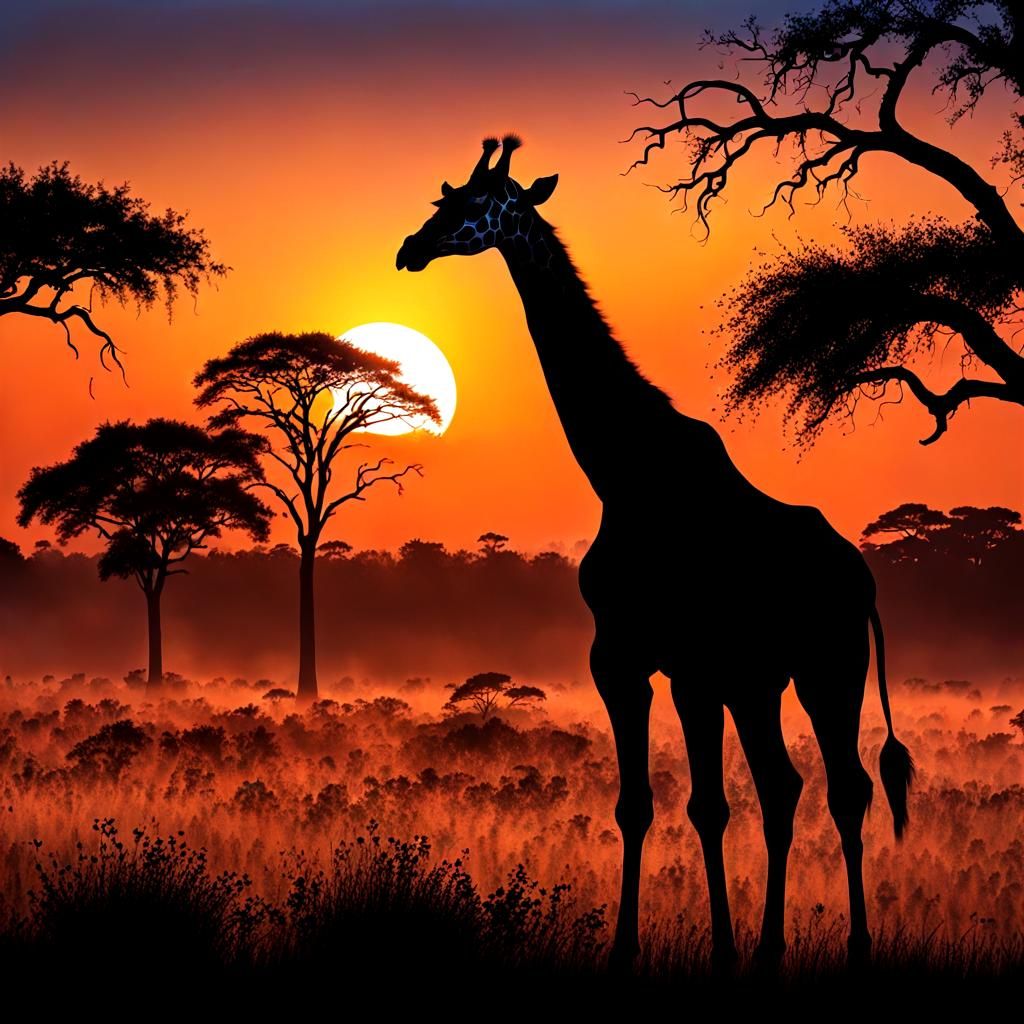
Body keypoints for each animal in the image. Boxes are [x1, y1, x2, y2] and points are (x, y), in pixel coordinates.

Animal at [396, 135, 915, 971]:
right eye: (443, 198)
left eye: (481, 205)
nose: (411, 249)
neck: (623, 468)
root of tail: (862, 581)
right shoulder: (648, 661)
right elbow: (665, 805)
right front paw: (676, 949)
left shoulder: (662, 660)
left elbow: (680, 804)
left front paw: (678, 951)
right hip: (762, 680)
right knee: (785, 786)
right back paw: (771, 949)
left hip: (830, 667)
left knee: (848, 787)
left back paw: (858, 949)